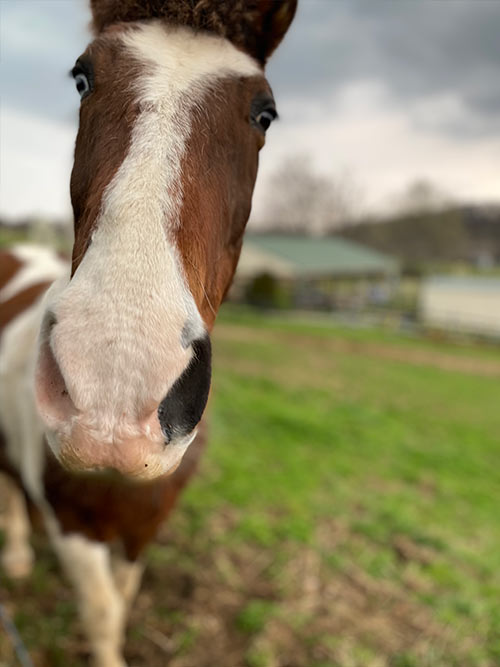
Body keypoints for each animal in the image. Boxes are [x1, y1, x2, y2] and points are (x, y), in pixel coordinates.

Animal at [0, 1, 296, 665]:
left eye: (264, 112)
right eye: (82, 79)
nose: (112, 394)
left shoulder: (146, 524)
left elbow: (127, 592)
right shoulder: (73, 528)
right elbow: (103, 611)